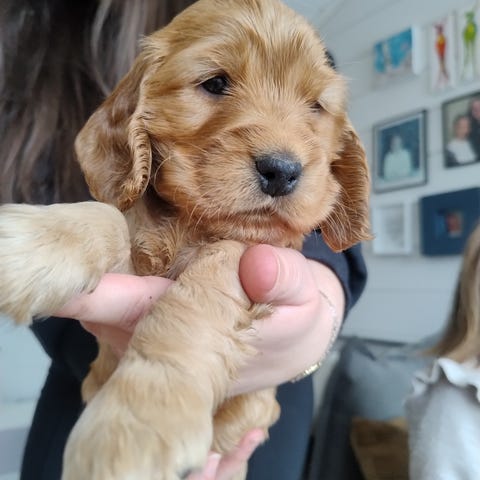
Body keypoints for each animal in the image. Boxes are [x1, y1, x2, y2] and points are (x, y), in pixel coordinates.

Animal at [0, 0, 370, 478]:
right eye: (215, 83)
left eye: (316, 107)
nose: (282, 170)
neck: (191, 224)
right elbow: (109, 215)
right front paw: (28, 245)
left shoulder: (253, 253)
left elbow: (200, 291)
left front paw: (141, 416)